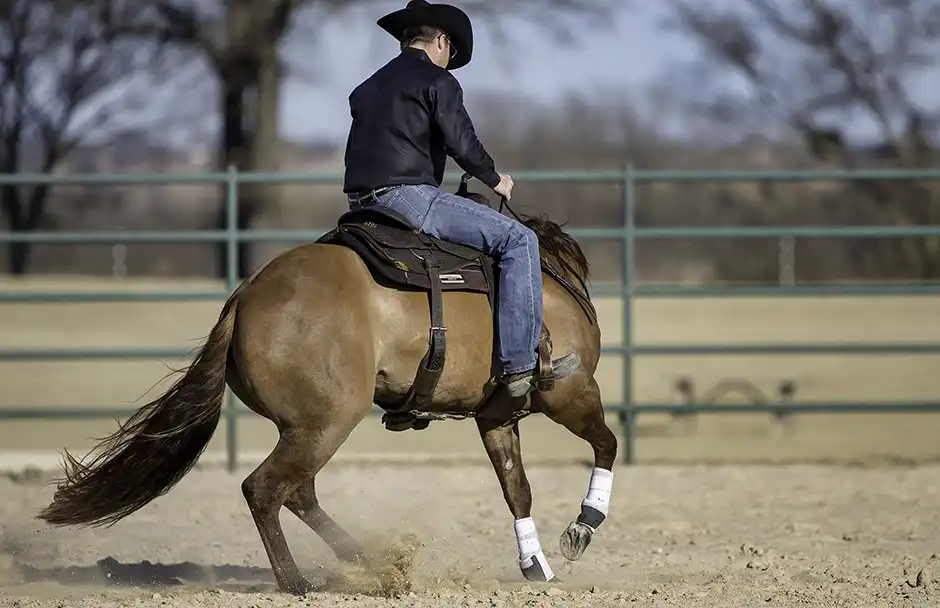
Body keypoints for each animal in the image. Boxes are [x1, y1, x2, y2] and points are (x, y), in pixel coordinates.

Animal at [35, 175, 618, 594]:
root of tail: (246, 296)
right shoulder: (571, 391)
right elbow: (606, 444)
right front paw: (582, 527)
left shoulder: (496, 416)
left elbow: (516, 489)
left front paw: (536, 565)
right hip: (327, 423)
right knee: (265, 489)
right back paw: (298, 582)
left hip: (308, 428)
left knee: (297, 492)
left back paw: (371, 565)